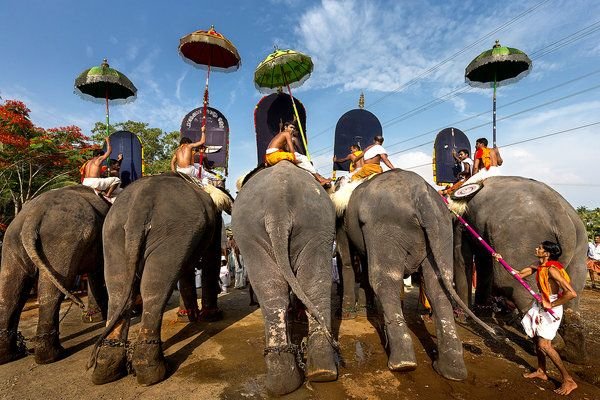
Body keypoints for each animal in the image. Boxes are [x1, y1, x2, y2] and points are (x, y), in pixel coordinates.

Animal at [0, 186, 110, 364]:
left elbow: (95, 274)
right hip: (62, 239)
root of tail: (32, 216)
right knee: (52, 290)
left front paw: (93, 318)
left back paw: (10, 355)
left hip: (12, 240)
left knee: (10, 292)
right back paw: (52, 356)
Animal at [88, 173, 231, 386]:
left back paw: (106, 369)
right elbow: (210, 260)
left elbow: (186, 268)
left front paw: (189, 317)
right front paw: (211, 317)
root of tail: (140, 205)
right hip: (172, 233)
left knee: (118, 288)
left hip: (113, 234)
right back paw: (152, 372)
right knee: (154, 288)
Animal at [232, 161, 340, 396]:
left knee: (275, 288)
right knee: (300, 285)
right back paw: (315, 374)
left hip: (303, 226)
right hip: (313, 226)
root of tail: (277, 204)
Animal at [344, 170, 494, 382]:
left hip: (386, 227)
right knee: (438, 285)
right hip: (442, 228)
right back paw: (451, 371)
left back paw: (402, 363)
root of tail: (422, 196)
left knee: (384, 280)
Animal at [454, 177, 584, 364]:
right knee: (574, 289)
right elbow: (483, 260)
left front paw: (465, 316)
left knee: (511, 282)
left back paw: (548, 342)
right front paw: (481, 312)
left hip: (520, 237)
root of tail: (563, 219)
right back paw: (573, 352)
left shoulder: (461, 220)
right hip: (580, 245)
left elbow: (462, 257)